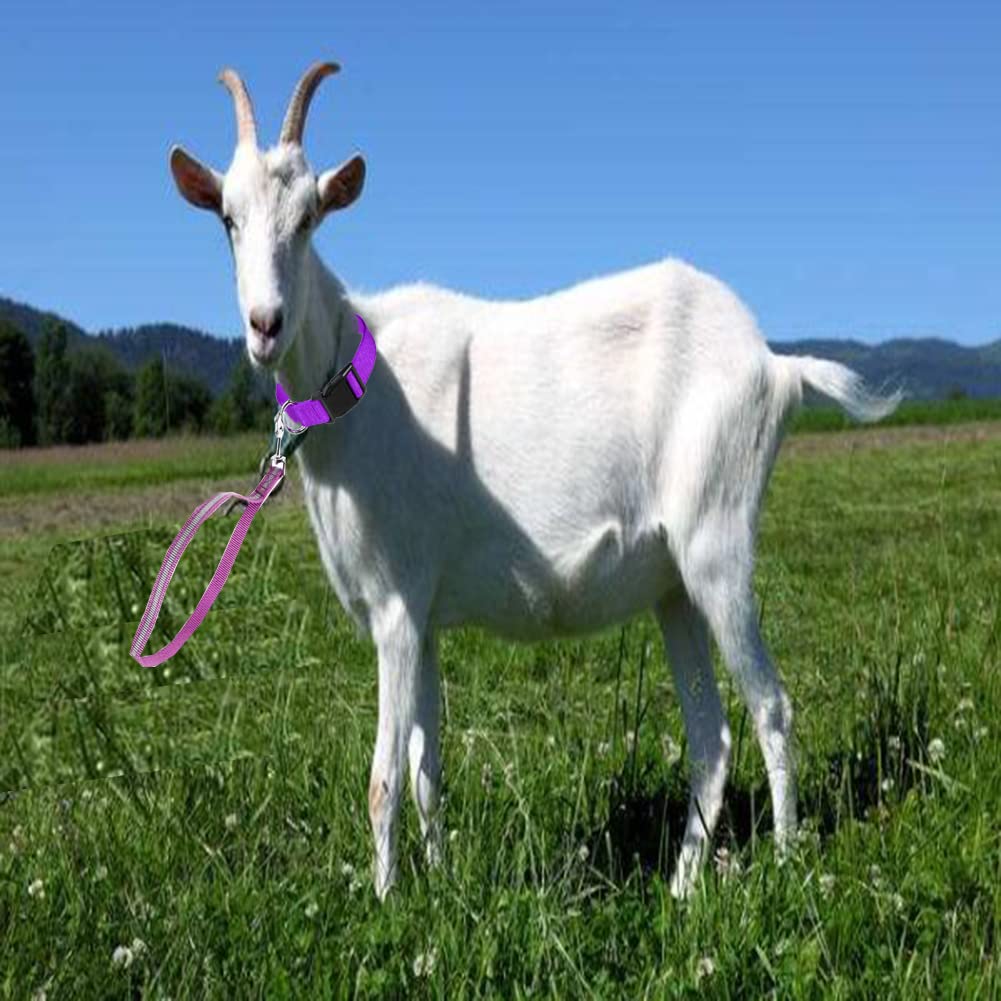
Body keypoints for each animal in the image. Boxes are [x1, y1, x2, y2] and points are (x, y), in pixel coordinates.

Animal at [169, 62, 900, 900]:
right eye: (227, 218)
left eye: (310, 216)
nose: (266, 325)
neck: (357, 381)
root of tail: (774, 365)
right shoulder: (423, 616)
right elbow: (425, 769)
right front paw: (440, 886)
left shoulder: (394, 607)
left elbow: (383, 780)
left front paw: (385, 904)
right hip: (672, 583)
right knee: (710, 736)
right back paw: (682, 887)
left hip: (718, 540)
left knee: (771, 706)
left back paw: (783, 865)